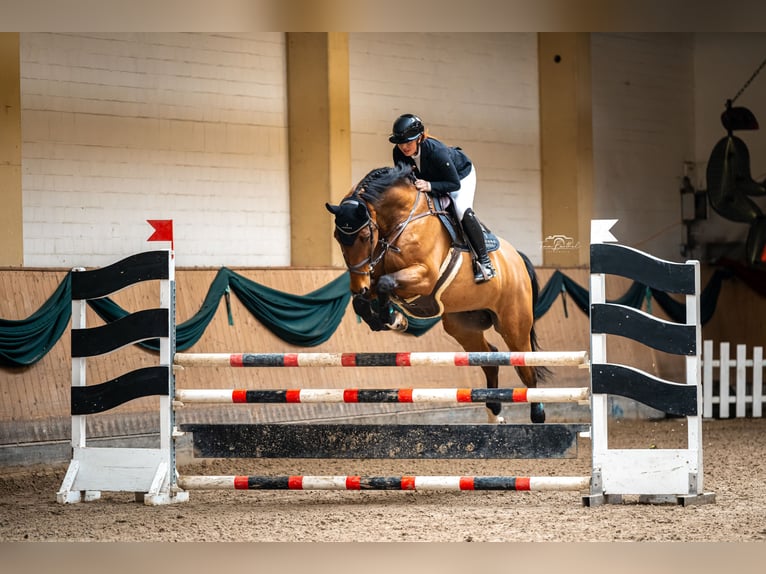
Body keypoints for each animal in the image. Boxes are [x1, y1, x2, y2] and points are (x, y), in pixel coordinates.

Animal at [328, 162, 548, 424]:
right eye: (337, 238)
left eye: (363, 237)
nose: (357, 285)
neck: (402, 221)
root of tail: (518, 259)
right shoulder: (375, 275)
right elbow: (365, 298)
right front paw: (390, 319)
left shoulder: (425, 276)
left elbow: (385, 283)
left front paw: (393, 319)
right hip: (462, 325)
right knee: (489, 358)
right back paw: (494, 413)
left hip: (513, 325)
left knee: (526, 366)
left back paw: (537, 415)